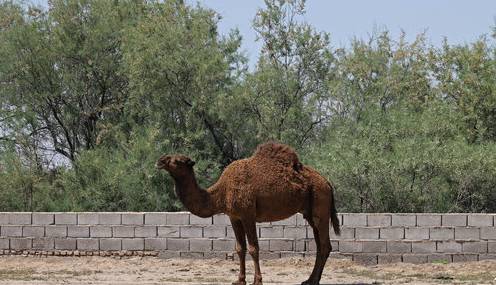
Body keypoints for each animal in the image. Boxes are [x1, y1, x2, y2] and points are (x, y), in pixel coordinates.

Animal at [157, 142, 340, 284]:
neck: (221, 192)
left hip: (320, 205)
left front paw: (257, 281)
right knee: (319, 244)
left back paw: (313, 280)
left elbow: (253, 248)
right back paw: (309, 280)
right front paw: (239, 280)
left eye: (177, 161)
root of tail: (327, 183)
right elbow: (240, 248)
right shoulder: (234, 217)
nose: (160, 161)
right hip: (310, 212)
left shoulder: (247, 214)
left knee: (325, 245)